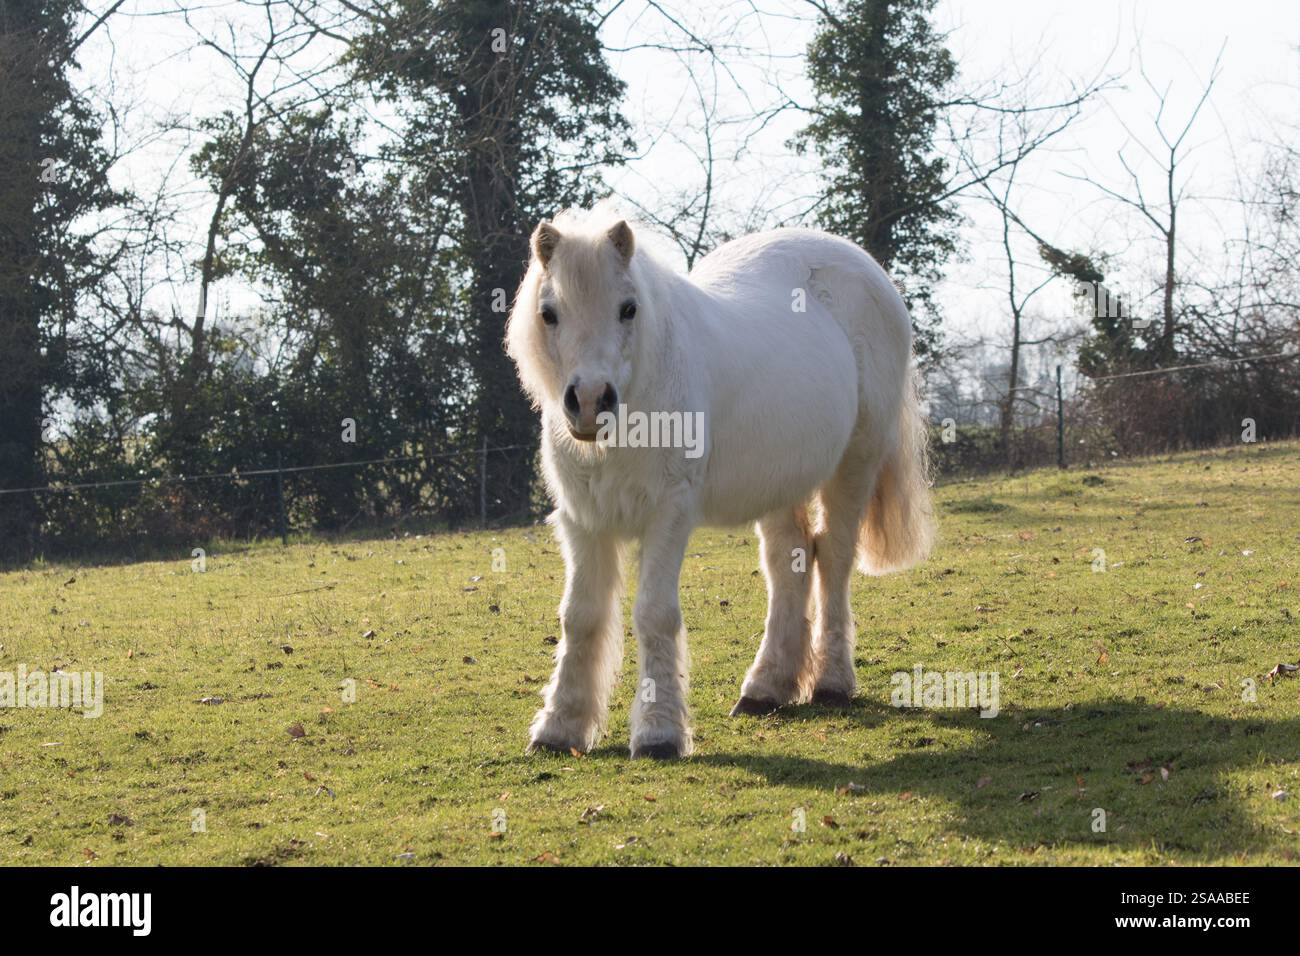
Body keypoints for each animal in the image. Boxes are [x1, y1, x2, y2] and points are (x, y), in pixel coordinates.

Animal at [506, 204, 935, 759]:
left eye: (628, 309)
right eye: (549, 313)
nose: (591, 400)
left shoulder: (669, 512)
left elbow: (654, 613)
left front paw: (659, 734)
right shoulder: (584, 520)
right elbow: (579, 617)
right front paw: (560, 728)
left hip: (855, 464)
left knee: (836, 559)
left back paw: (832, 683)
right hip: (781, 481)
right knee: (790, 561)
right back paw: (766, 688)